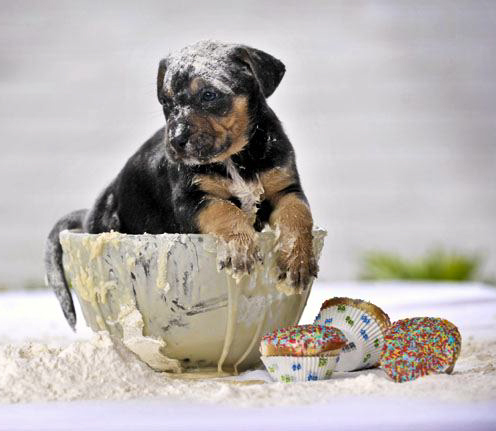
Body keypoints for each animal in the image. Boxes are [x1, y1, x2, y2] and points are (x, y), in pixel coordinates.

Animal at [46, 41, 318, 330]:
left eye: (209, 95)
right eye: (166, 102)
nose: (176, 141)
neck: (235, 159)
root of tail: (88, 216)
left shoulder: (285, 189)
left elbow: (298, 215)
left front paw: (298, 261)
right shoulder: (191, 200)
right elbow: (226, 211)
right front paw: (241, 248)